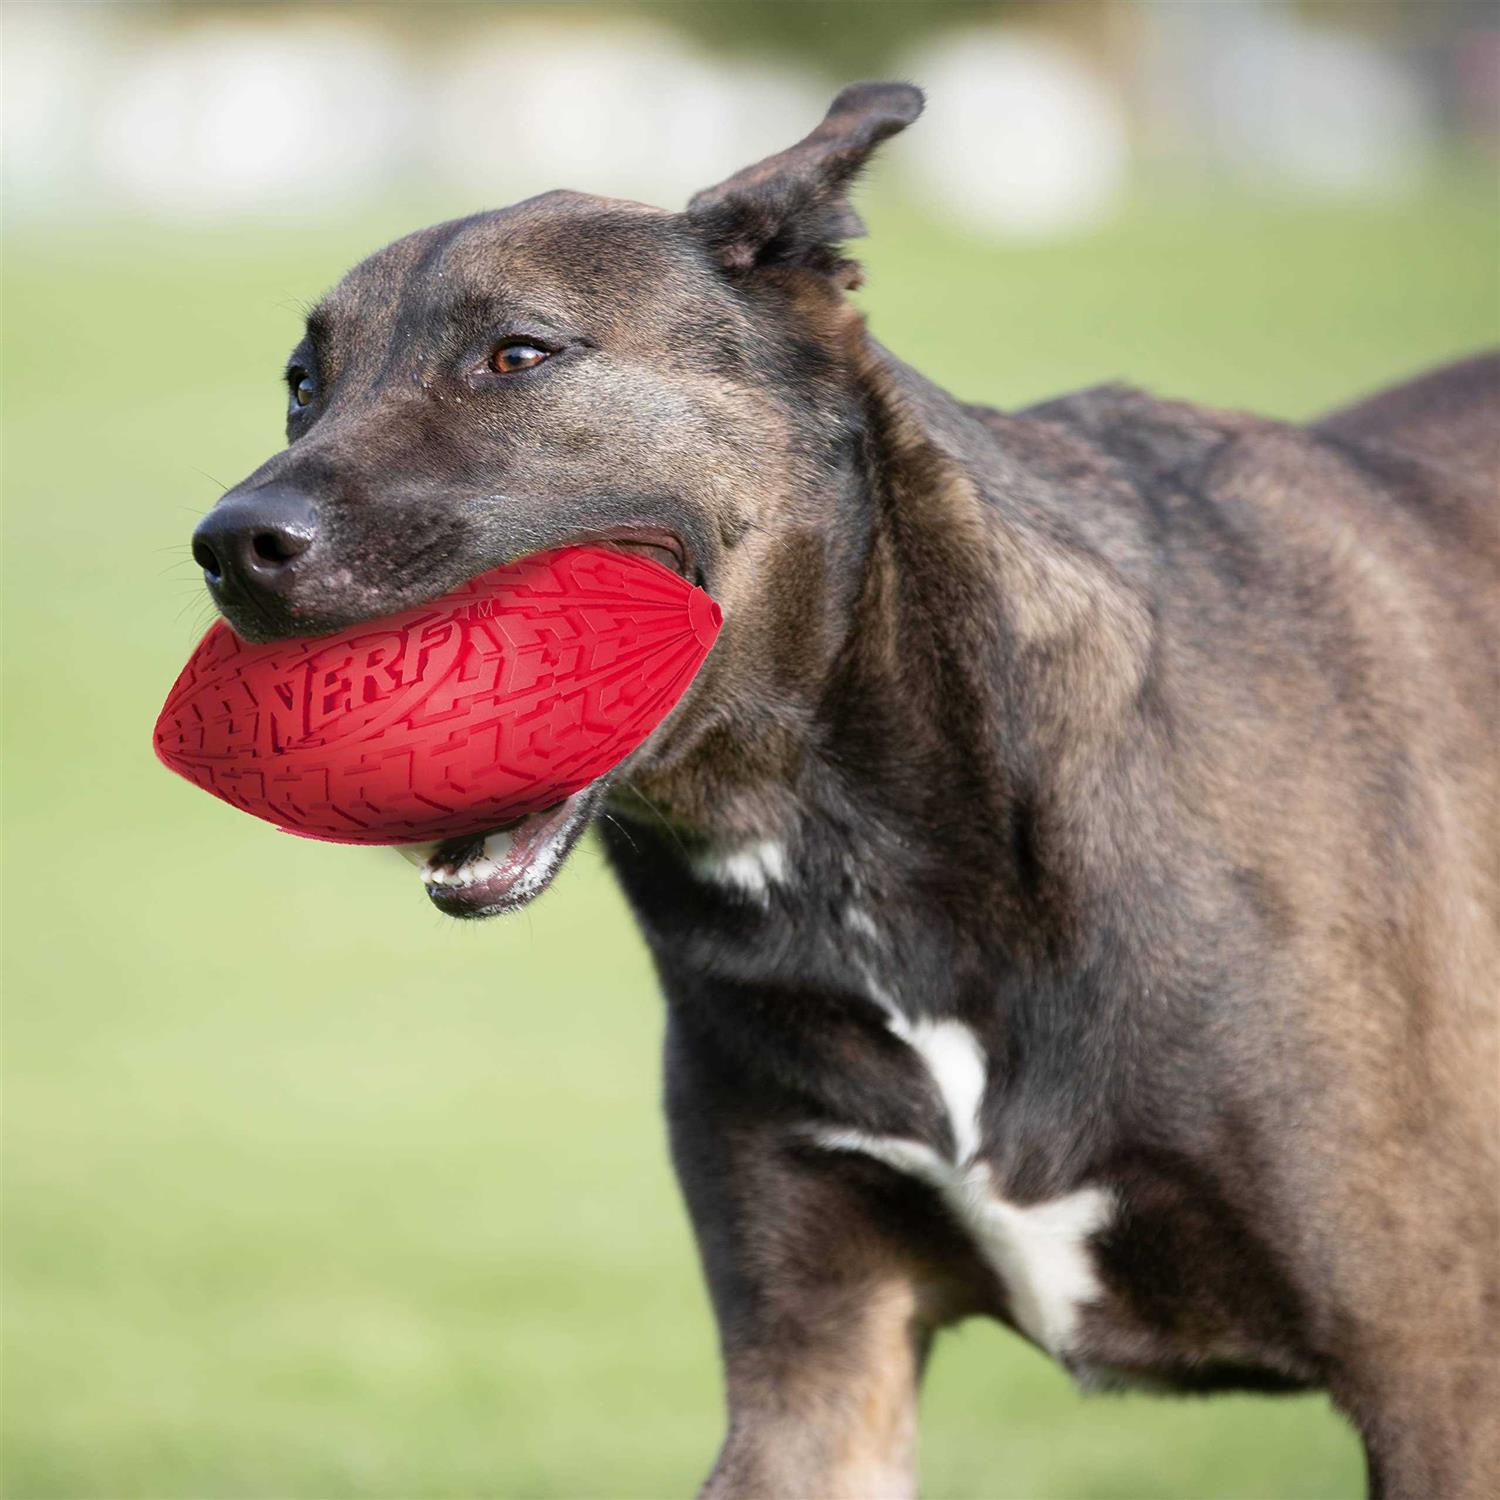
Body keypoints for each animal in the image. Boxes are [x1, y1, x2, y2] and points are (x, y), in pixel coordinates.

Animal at [191, 83, 1499, 1499]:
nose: (230, 546)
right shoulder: (815, 1379)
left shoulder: (1437, 1379)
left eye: (518, 355)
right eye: (302, 385)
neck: (859, 850)